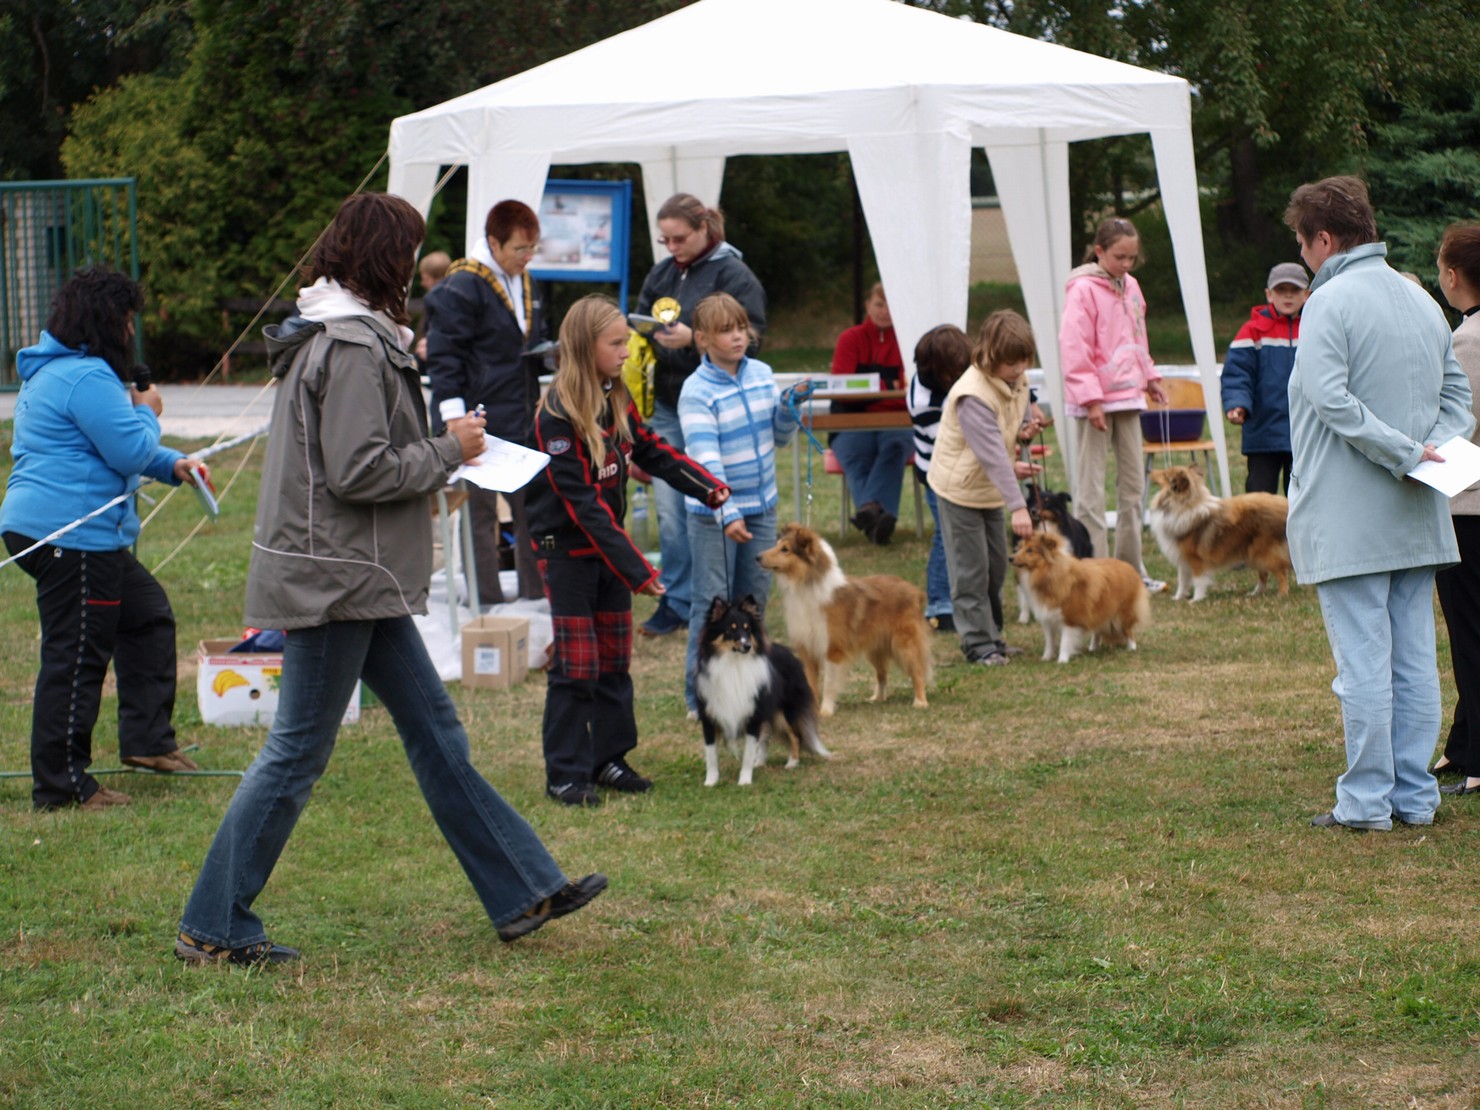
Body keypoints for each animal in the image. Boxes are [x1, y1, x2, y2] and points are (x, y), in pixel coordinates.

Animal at [694, 595, 830, 787]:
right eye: (730, 629)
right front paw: (711, 782)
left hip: (784, 713)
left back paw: (792, 763)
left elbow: (747, 752)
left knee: (794, 735)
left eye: (747, 629)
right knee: (766, 736)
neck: (733, 663)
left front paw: (744, 780)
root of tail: (789, 653)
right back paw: (759, 761)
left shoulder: (753, 714)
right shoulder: (710, 717)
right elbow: (711, 755)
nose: (748, 646)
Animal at [758, 523, 932, 716]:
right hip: (875, 647)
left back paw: (920, 701)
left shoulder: (833, 649)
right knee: (882, 674)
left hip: (904, 643)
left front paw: (826, 711)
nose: (757, 557)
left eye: (785, 549)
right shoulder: (807, 649)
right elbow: (811, 683)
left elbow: (829, 684)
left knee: (917, 670)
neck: (808, 586)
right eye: (777, 545)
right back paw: (877, 698)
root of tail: (915, 591)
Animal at [1010, 531, 1151, 663]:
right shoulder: (1048, 619)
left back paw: (1131, 648)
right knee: (1097, 631)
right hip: (1100, 612)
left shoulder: (1070, 619)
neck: (1050, 574)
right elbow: (1049, 641)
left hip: (1121, 615)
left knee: (1128, 631)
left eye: (1030, 550)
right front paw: (1046, 658)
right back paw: (1093, 648)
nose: (1010, 558)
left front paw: (1062, 660)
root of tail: (1129, 567)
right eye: (1020, 548)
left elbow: (1065, 641)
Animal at [1147, 465, 1292, 601]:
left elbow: (1198, 580)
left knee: (1281, 572)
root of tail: (1285, 506)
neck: (1182, 505)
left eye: (1165, 475)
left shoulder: (1196, 559)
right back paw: (1255, 593)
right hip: (1254, 553)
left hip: (1264, 553)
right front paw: (1178, 598)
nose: (1148, 470)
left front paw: (1196, 599)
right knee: (1264, 575)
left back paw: (1282, 594)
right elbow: (1182, 581)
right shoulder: (1182, 558)